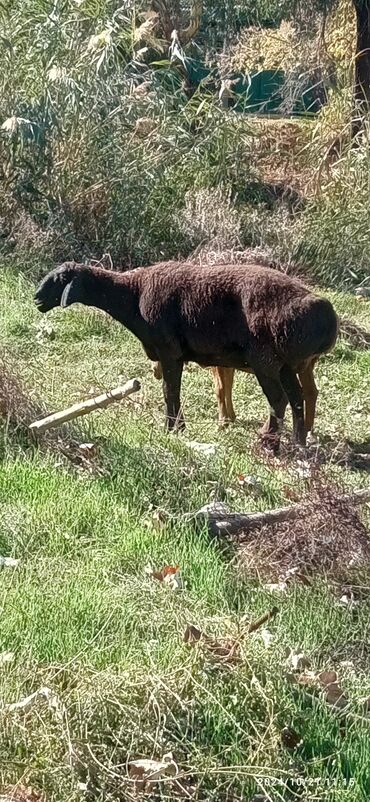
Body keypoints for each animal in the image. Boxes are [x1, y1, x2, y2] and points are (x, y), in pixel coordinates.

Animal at [34, 262, 338, 450]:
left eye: (59, 280)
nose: (36, 299)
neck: (133, 295)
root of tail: (326, 315)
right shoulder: (171, 355)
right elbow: (172, 390)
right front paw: (178, 427)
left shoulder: (169, 352)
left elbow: (170, 391)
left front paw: (172, 428)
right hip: (286, 364)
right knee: (297, 398)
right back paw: (298, 442)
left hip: (266, 361)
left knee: (279, 399)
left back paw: (268, 441)